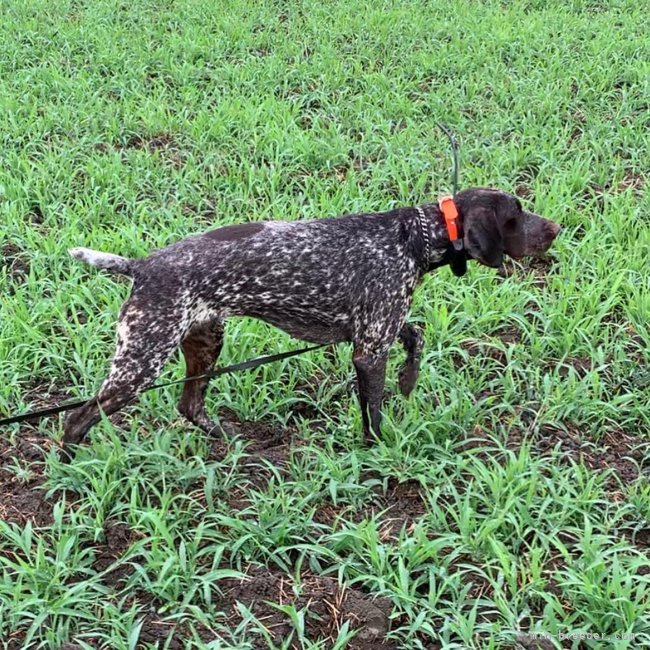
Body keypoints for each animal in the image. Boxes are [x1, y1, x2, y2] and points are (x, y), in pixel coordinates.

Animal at [59, 187, 556, 460]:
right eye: (515, 216)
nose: (554, 228)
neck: (411, 238)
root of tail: (141, 267)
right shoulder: (369, 348)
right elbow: (373, 416)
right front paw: (378, 453)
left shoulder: (379, 325)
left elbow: (416, 335)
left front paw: (409, 379)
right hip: (141, 363)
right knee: (76, 419)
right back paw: (70, 471)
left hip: (205, 341)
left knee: (190, 406)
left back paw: (233, 442)